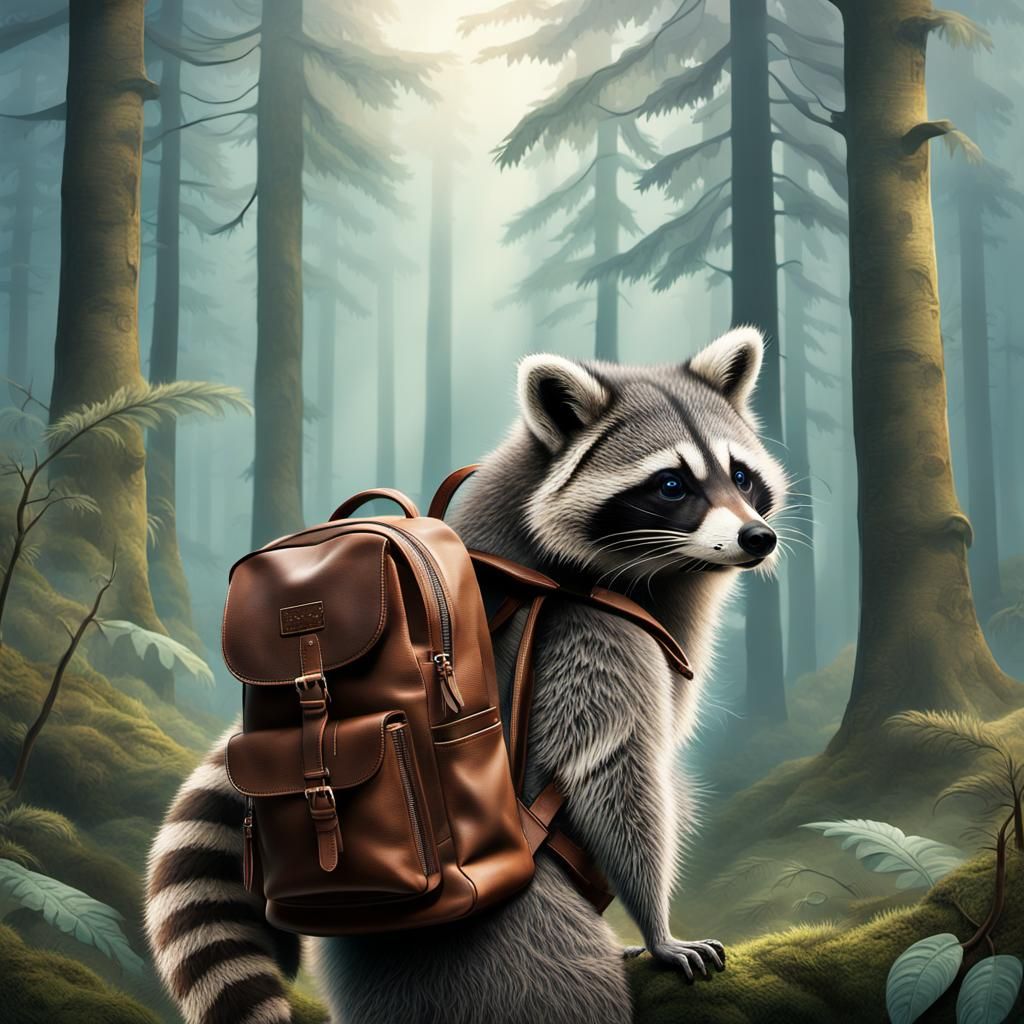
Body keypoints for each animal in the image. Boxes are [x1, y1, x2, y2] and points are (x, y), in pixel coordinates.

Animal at [145, 327, 787, 1024]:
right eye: (672, 485)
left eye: (741, 475)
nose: (758, 538)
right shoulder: (585, 630)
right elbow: (609, 771)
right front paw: (658, 925)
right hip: (503, 941)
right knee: (558, 987)